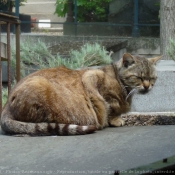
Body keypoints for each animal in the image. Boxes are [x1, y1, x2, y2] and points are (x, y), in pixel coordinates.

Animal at [0, 52, 161, 136]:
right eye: (139, 77)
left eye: (152, 78)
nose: (147, 86)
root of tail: (5, 108)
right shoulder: (92, 78)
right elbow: (108, 107)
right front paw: (115, 119)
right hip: (40, 86)